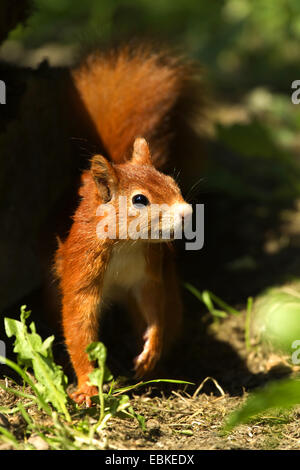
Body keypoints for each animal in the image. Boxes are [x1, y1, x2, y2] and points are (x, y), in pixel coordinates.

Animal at [55, 44, 203, 406]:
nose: (187, 212)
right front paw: (87, 386)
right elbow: (78, 327)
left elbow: (154, 307)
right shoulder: (81, 272)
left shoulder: (148, 272)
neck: (126, 244)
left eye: (171, 181)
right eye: (139, 200)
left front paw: (151, 349)